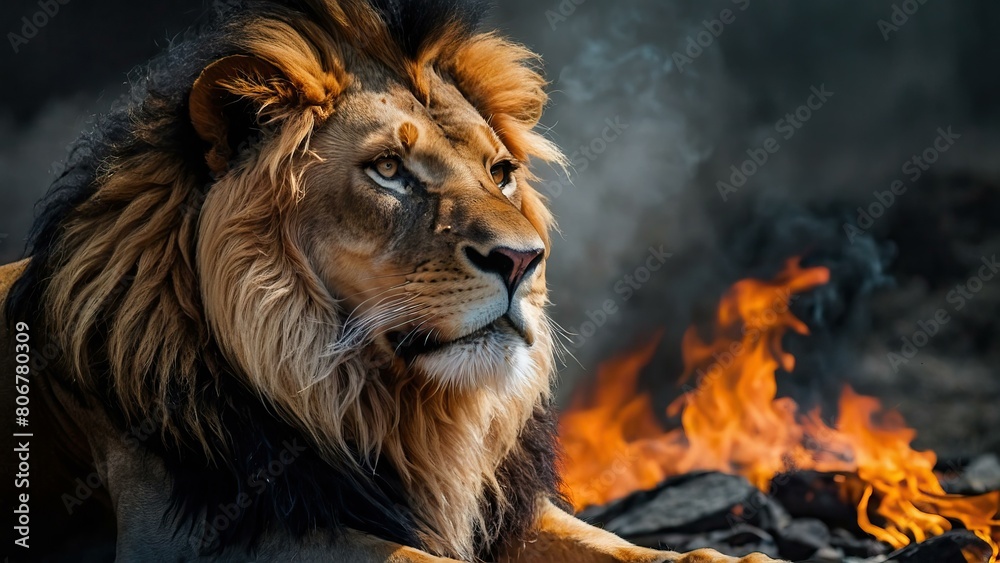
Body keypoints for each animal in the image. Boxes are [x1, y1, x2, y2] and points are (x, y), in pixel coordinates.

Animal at [1, 1, 779, 562]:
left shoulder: (503, 507)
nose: (525, 260)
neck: (387, 407)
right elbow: (412, 557)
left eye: (500, 172)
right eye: (388, 170)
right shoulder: (185, 531)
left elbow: (623, 546)